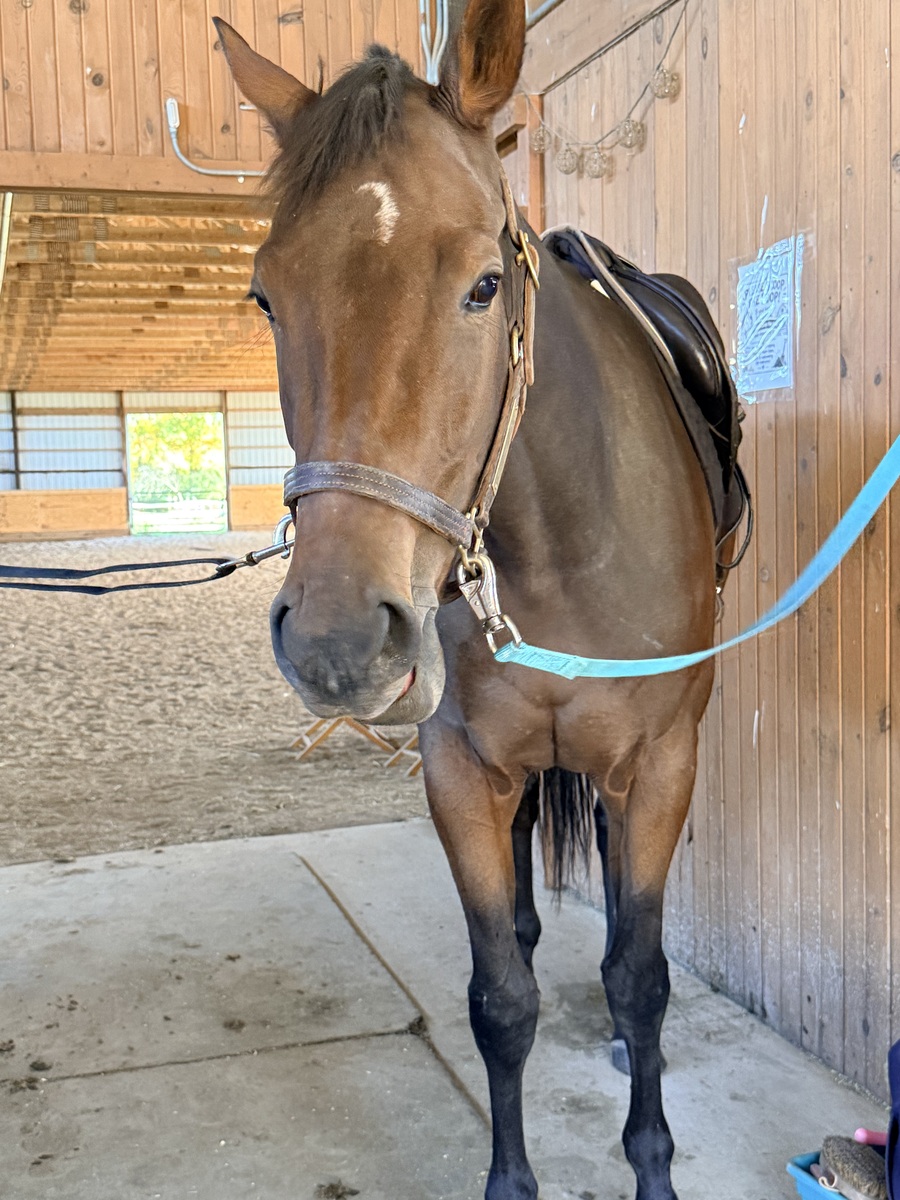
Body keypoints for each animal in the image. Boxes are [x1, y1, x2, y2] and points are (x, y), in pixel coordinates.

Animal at [216, 3, 733, 1197]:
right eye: (266, 295)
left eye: (483, 285)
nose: (339, 640)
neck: (563, 543)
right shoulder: (459, 767)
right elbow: (501, 998)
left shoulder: (663, 763)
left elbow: (642, 973)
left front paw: (650, 1159)